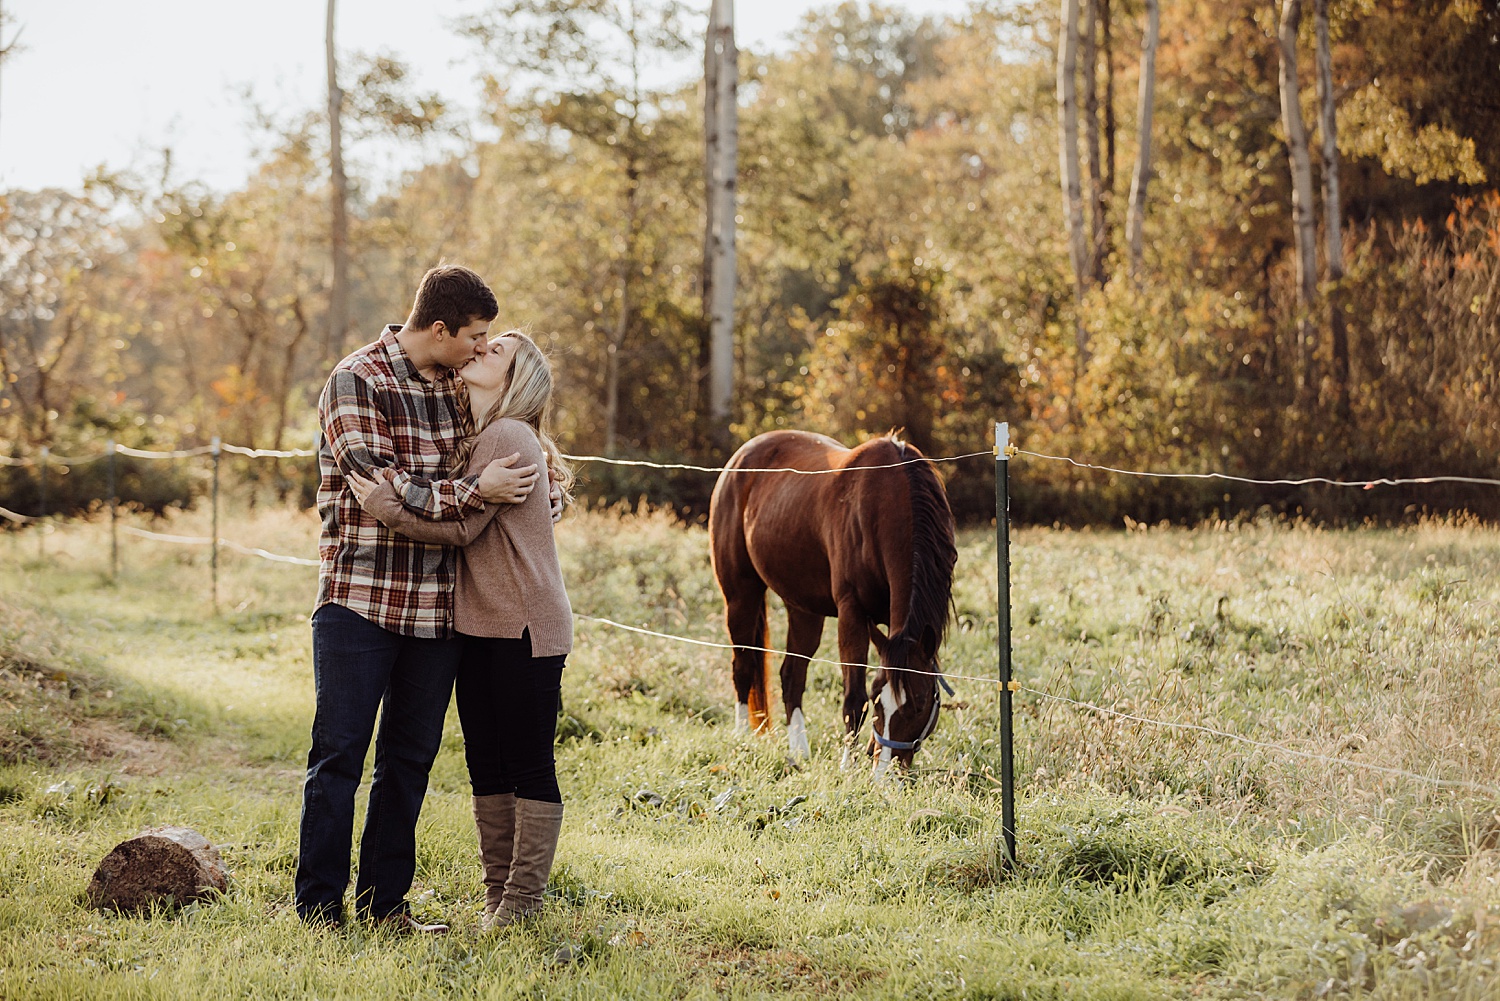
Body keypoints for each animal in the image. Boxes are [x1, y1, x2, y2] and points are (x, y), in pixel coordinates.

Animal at [705, 432, 960, 774]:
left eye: (920, 704)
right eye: (879, 699)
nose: (886, 774)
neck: (889, 502)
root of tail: (739, 459)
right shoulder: (852, 613)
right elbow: (854, 699)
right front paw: (847, 766)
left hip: (803, 610)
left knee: (792, 676)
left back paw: (799, 751)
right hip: (740, 595)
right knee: (743, 666)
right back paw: (741, 736)